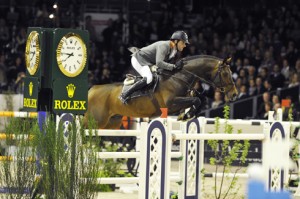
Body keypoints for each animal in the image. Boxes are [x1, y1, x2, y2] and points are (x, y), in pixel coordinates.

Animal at [85, 54, 238, 129]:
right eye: (225, 74)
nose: (235, 94)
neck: (179, 77)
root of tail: (92, 90)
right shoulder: (171, 104)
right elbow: (197, 99)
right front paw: (187, 115)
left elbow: (200, 99)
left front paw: (186, 115)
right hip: (97, 120)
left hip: (111, 122)